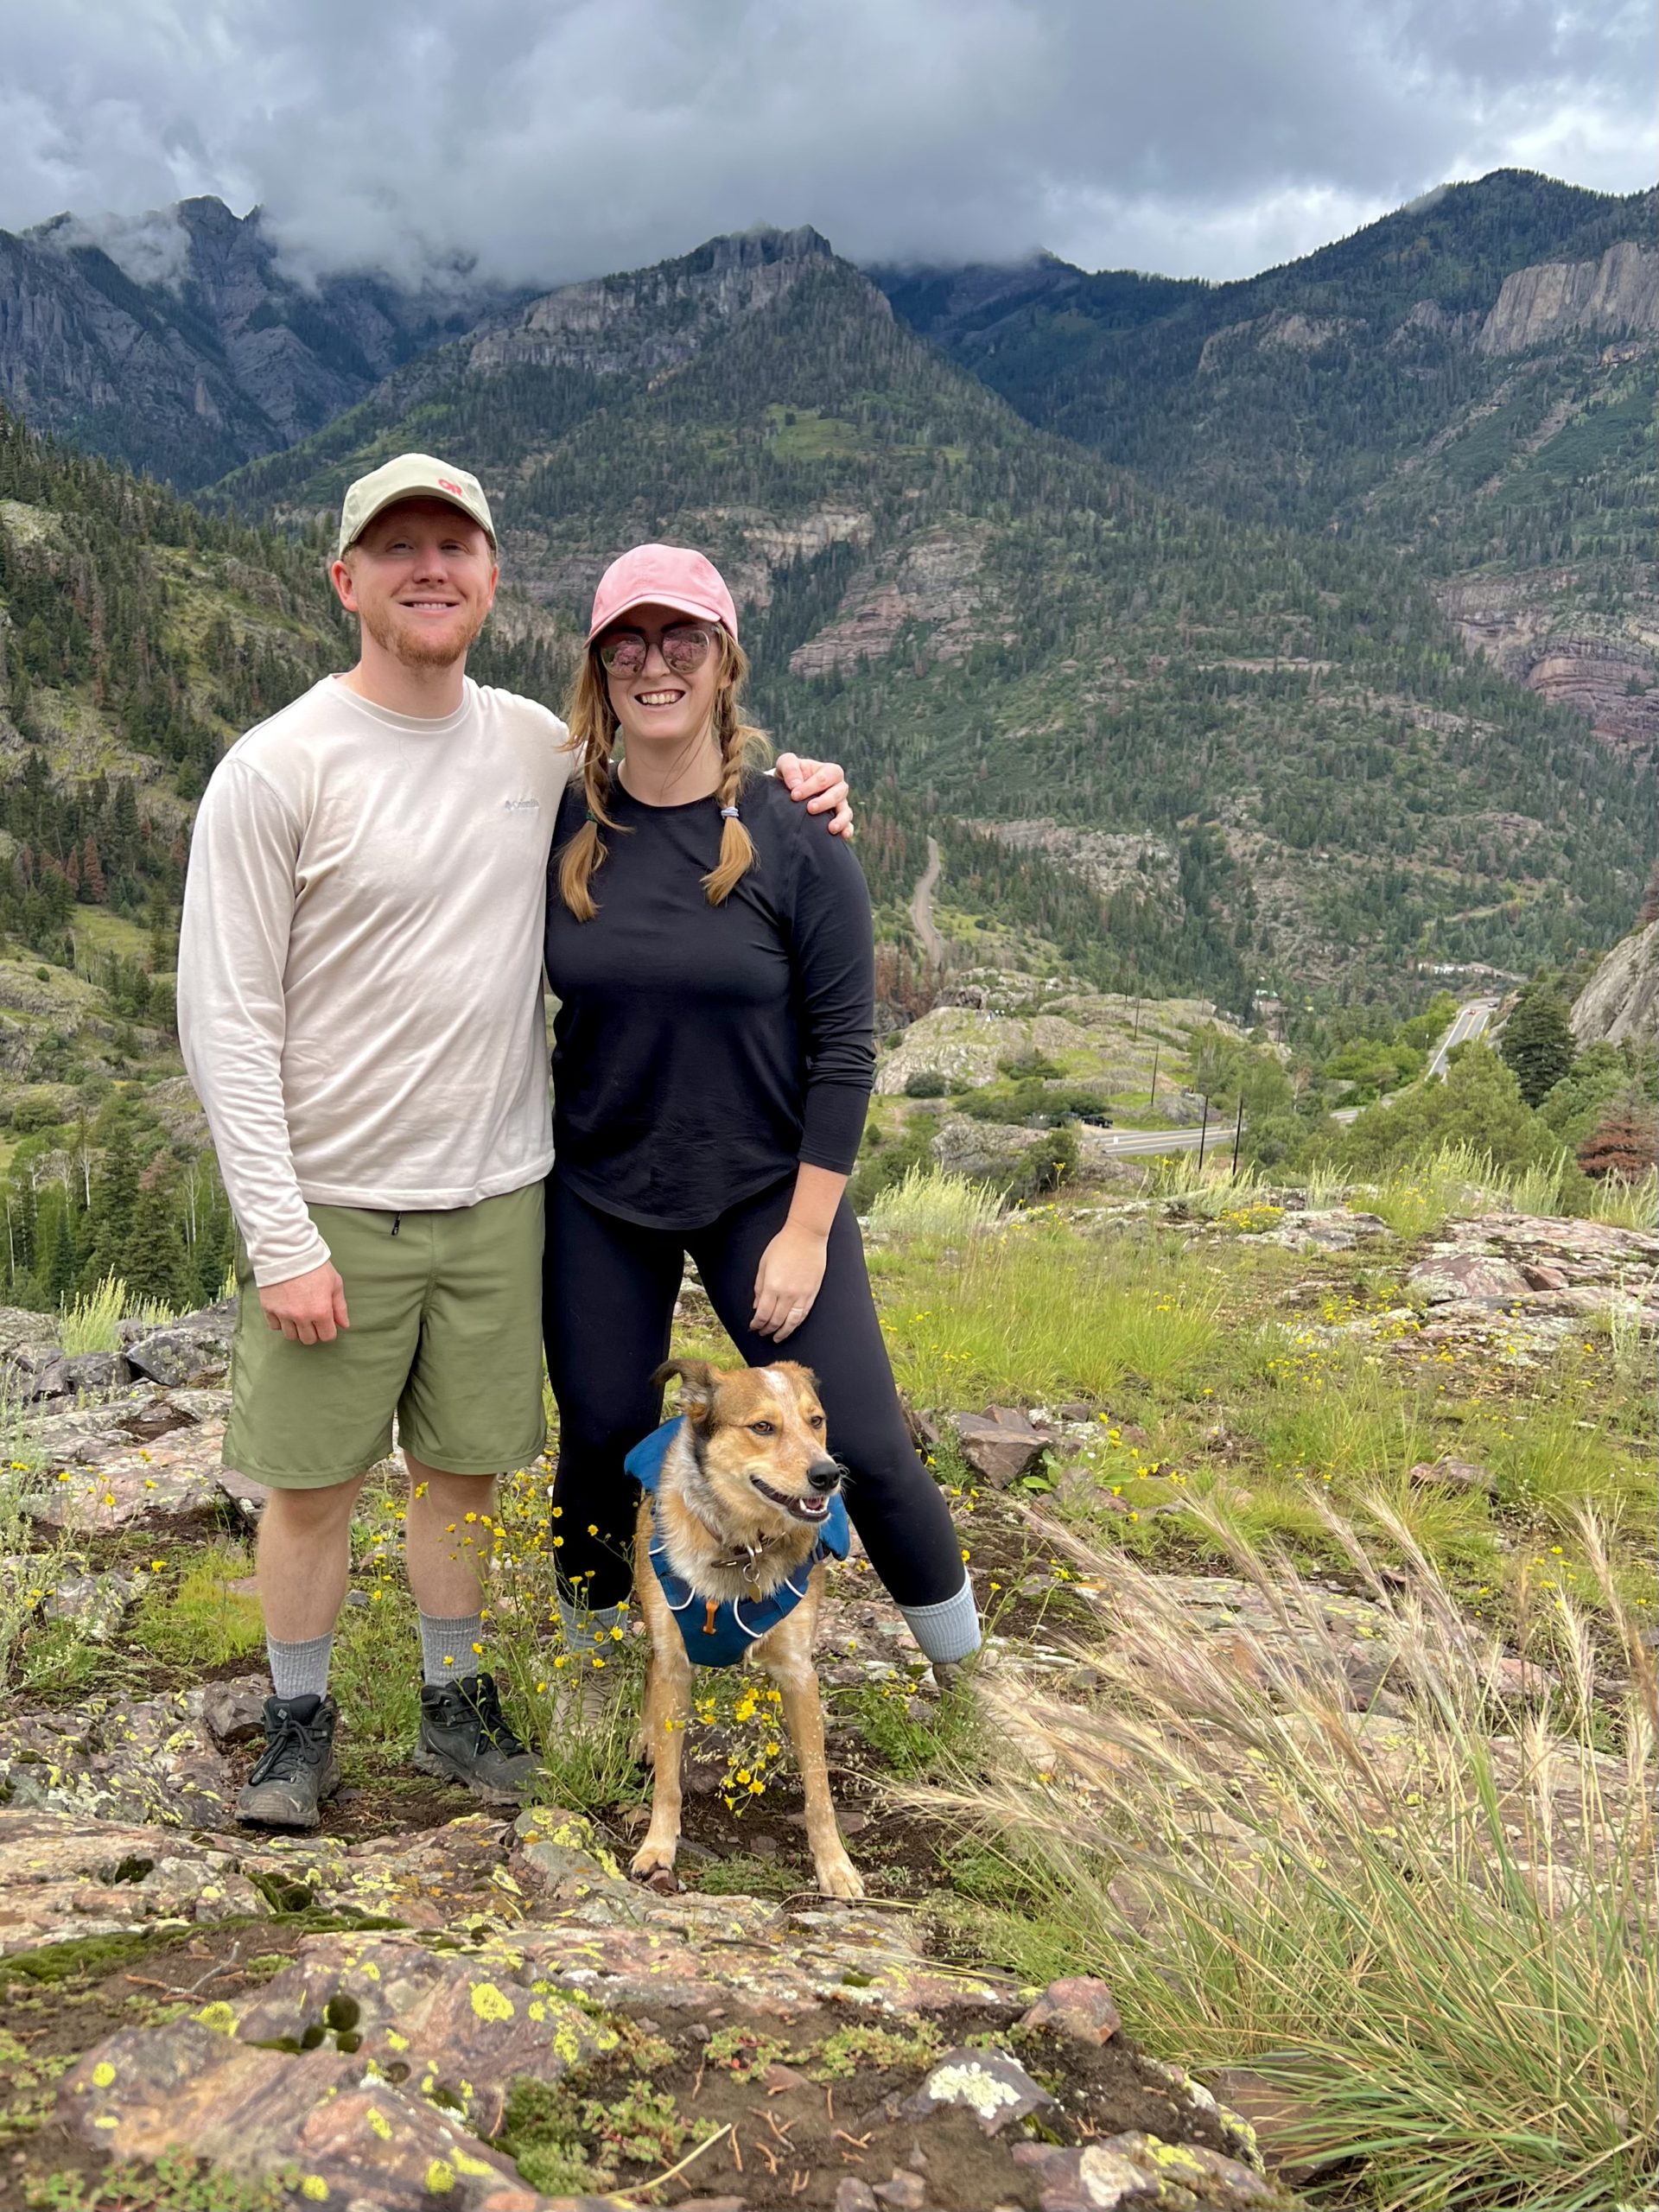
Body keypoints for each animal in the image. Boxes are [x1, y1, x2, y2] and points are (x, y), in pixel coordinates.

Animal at [628, 1353, 871, 1893]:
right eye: (762, 1427)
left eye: (816, 1421)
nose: (828, 1475)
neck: (743, 1547)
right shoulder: (675, 1663)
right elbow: (669, 1782)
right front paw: (658, 1847)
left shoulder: (799, 1674)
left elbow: (819, 1786)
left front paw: (835, 1865)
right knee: (650, 1675)